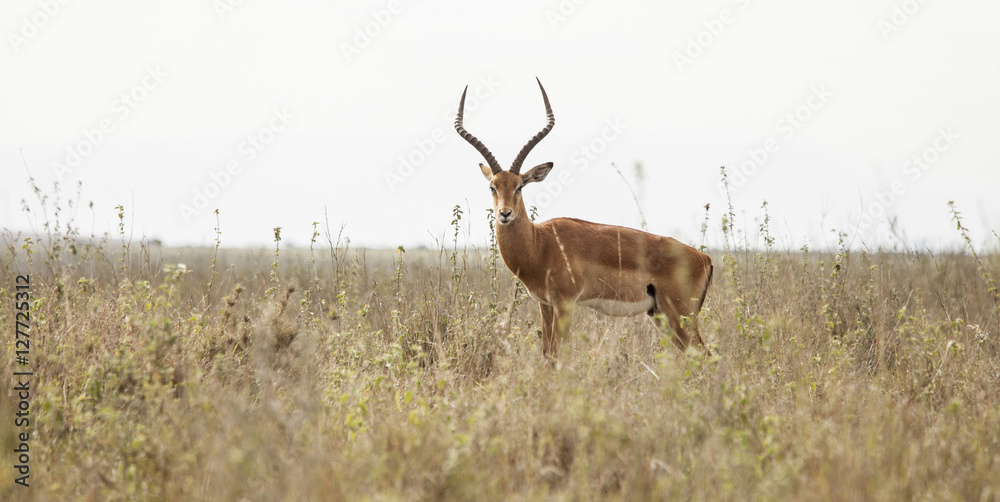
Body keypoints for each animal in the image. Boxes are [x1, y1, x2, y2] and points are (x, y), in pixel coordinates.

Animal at [454, 78, 714, 360]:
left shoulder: (565, 303)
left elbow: (557, 354)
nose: (505, 213)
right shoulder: (545, 304)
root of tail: (705, 258)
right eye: (492, 186)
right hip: (661, 316)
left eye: (519, 186)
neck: (540, 243)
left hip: (680, 316)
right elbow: (547, 353)